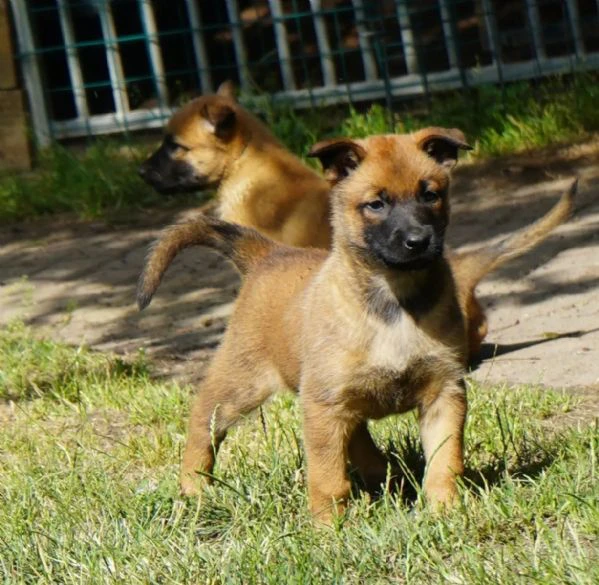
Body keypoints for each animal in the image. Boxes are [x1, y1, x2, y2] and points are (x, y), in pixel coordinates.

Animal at [138, 128, 480, 520]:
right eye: (376, 204)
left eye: (430, 195)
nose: (419, 241)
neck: (394, 303)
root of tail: (269, 254)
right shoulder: (323, 405)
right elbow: (327, 476)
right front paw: (329, 526)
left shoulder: (445, 392)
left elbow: (445, 461)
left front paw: (445, 509)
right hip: (240, 384)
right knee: (202, 424)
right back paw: (194, 488)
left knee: (358, 436)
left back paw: (382, 476)